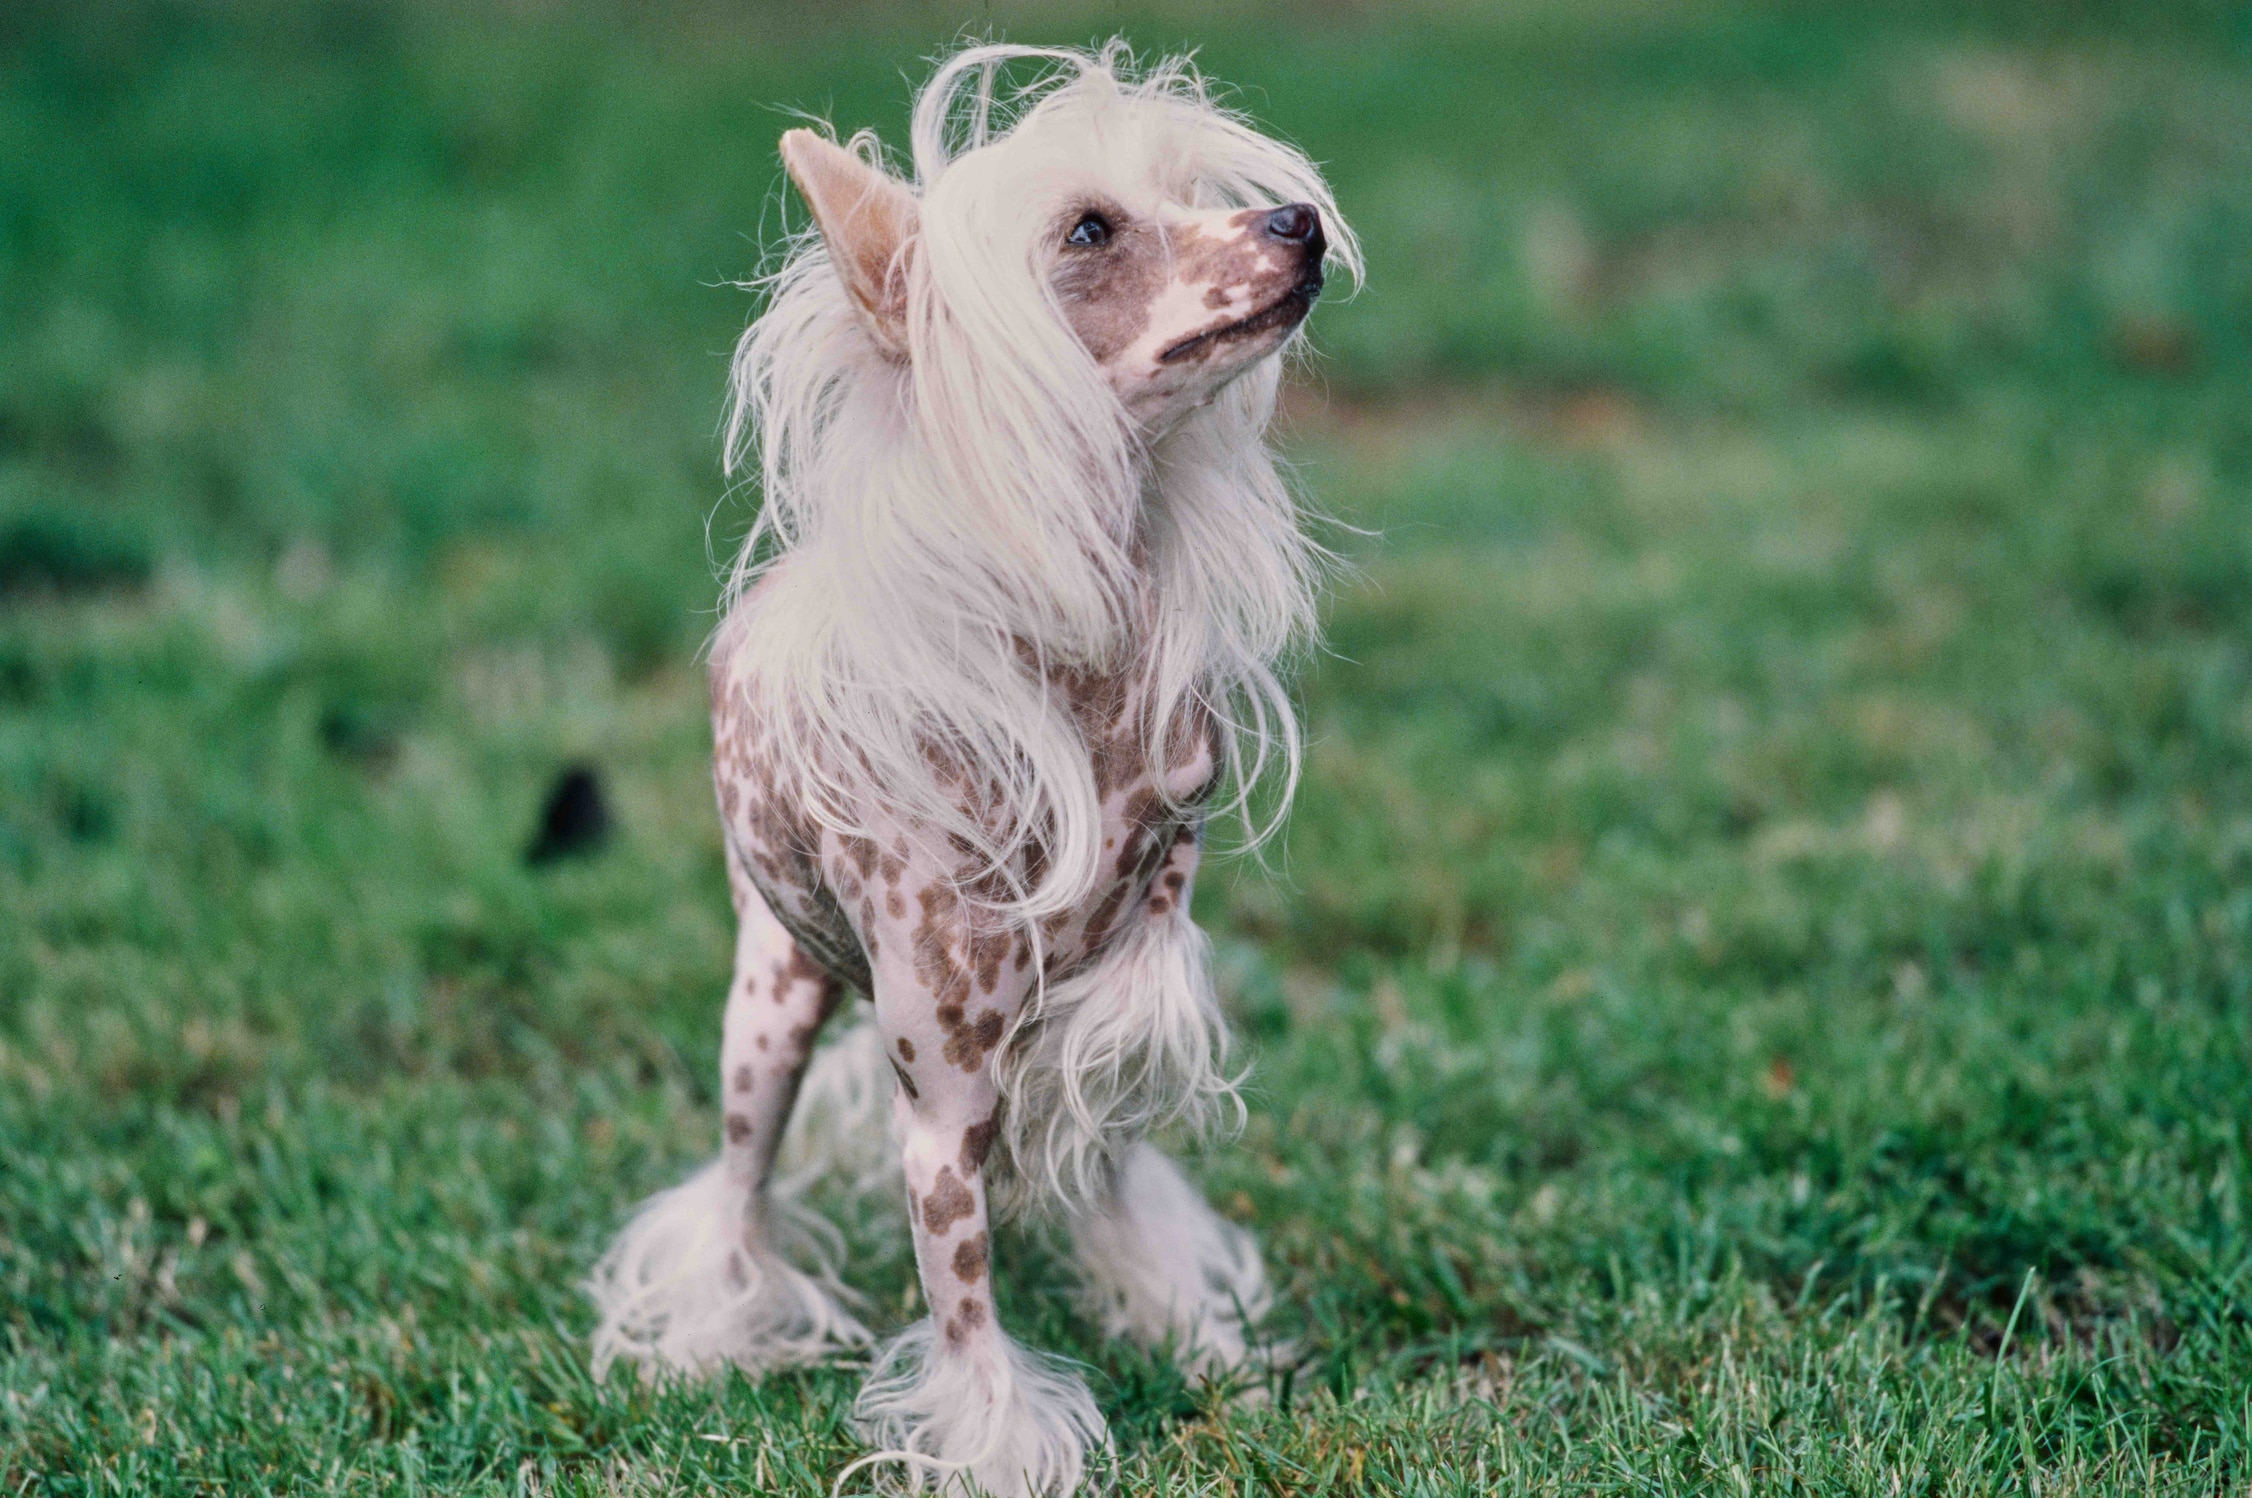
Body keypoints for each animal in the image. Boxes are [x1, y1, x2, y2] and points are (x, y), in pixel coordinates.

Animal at [585, 40, 1351, 1486]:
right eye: (1089, 231)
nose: (1300, 222)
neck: (1080, 685)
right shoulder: (940, 1102)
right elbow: (967, 1313)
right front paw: (1001, 1441)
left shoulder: (1125, 976)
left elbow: (1115, 1107)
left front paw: (1189, 1325)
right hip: (766, 1000)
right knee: (737, 1180)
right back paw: (719, 1315)